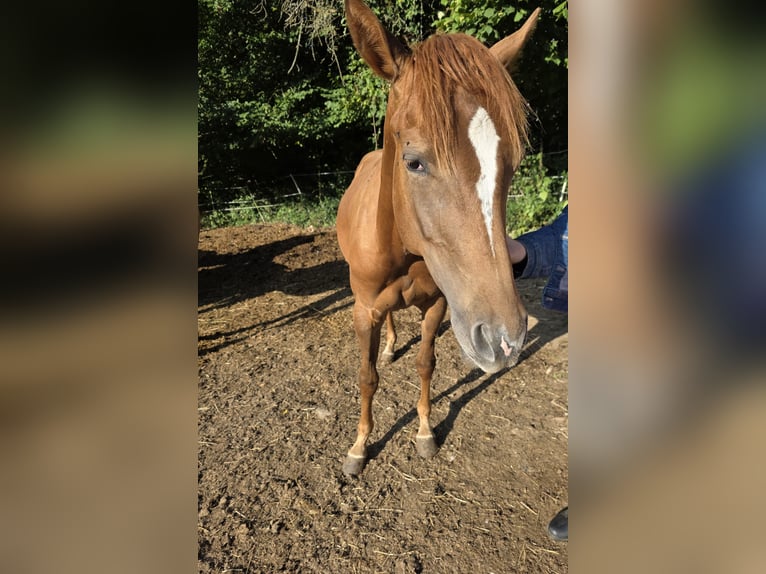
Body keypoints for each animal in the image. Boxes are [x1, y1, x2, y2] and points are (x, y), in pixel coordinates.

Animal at [336, 0, 540, 476]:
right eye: (414, 162)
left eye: (513, 162)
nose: (505, 338)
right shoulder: (363, 311)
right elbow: (367, 377)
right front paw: (359, 447)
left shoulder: (440, 305)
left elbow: (426, 364)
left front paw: (426, 431)